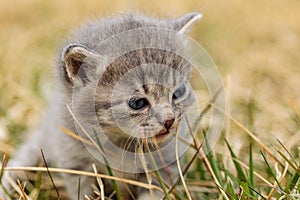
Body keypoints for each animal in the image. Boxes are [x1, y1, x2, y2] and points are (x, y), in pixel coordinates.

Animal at [1, 12, 202, 200]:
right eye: (138, 103)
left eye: (178, 93)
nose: (169, 120)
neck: (121, 143)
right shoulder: (77, 166)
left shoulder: (164, 167)